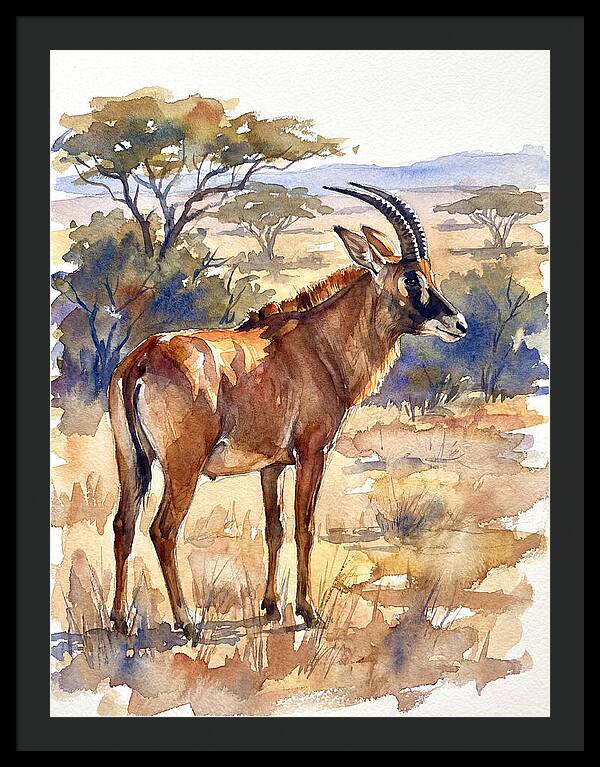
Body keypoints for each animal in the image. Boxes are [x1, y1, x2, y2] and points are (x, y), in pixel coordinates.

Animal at [108, 184, 467, 638]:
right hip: (182, 467)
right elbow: (305, 527)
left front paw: (270, 606)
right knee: (163, 530)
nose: (458, 324)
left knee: (124, 524)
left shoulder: (272, 465)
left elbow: (274, 529)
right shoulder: (312, 453)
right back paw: (186, 622)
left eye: (428, 273)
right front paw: (308, 611)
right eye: (411, 277)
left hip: (130, 461)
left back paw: (119, 620)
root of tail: (141, 360)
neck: (318, 343)